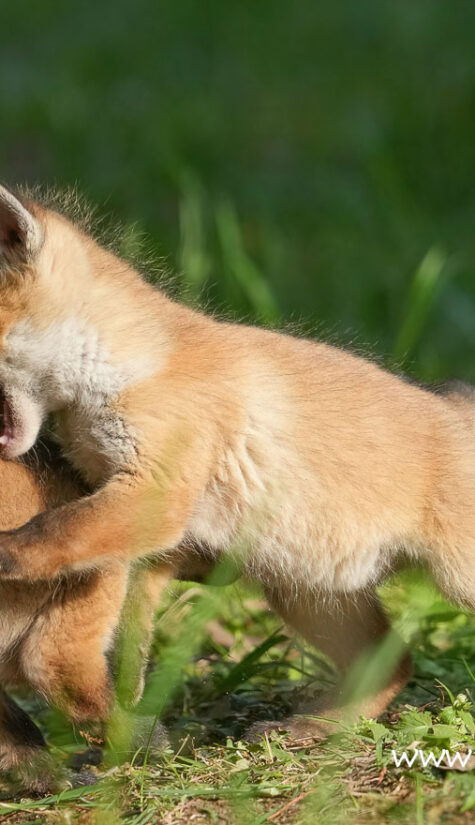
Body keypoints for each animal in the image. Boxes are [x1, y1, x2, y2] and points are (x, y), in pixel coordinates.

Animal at [0, 183, 474, 741]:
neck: (127, 369)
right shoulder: (148, 534)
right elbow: (128, 637)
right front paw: (128, 708)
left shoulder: (158, 495)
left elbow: (55, 529)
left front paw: (7, 552)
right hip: (308, 594)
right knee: (394, 663)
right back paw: (317, 728)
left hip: (451, 578)